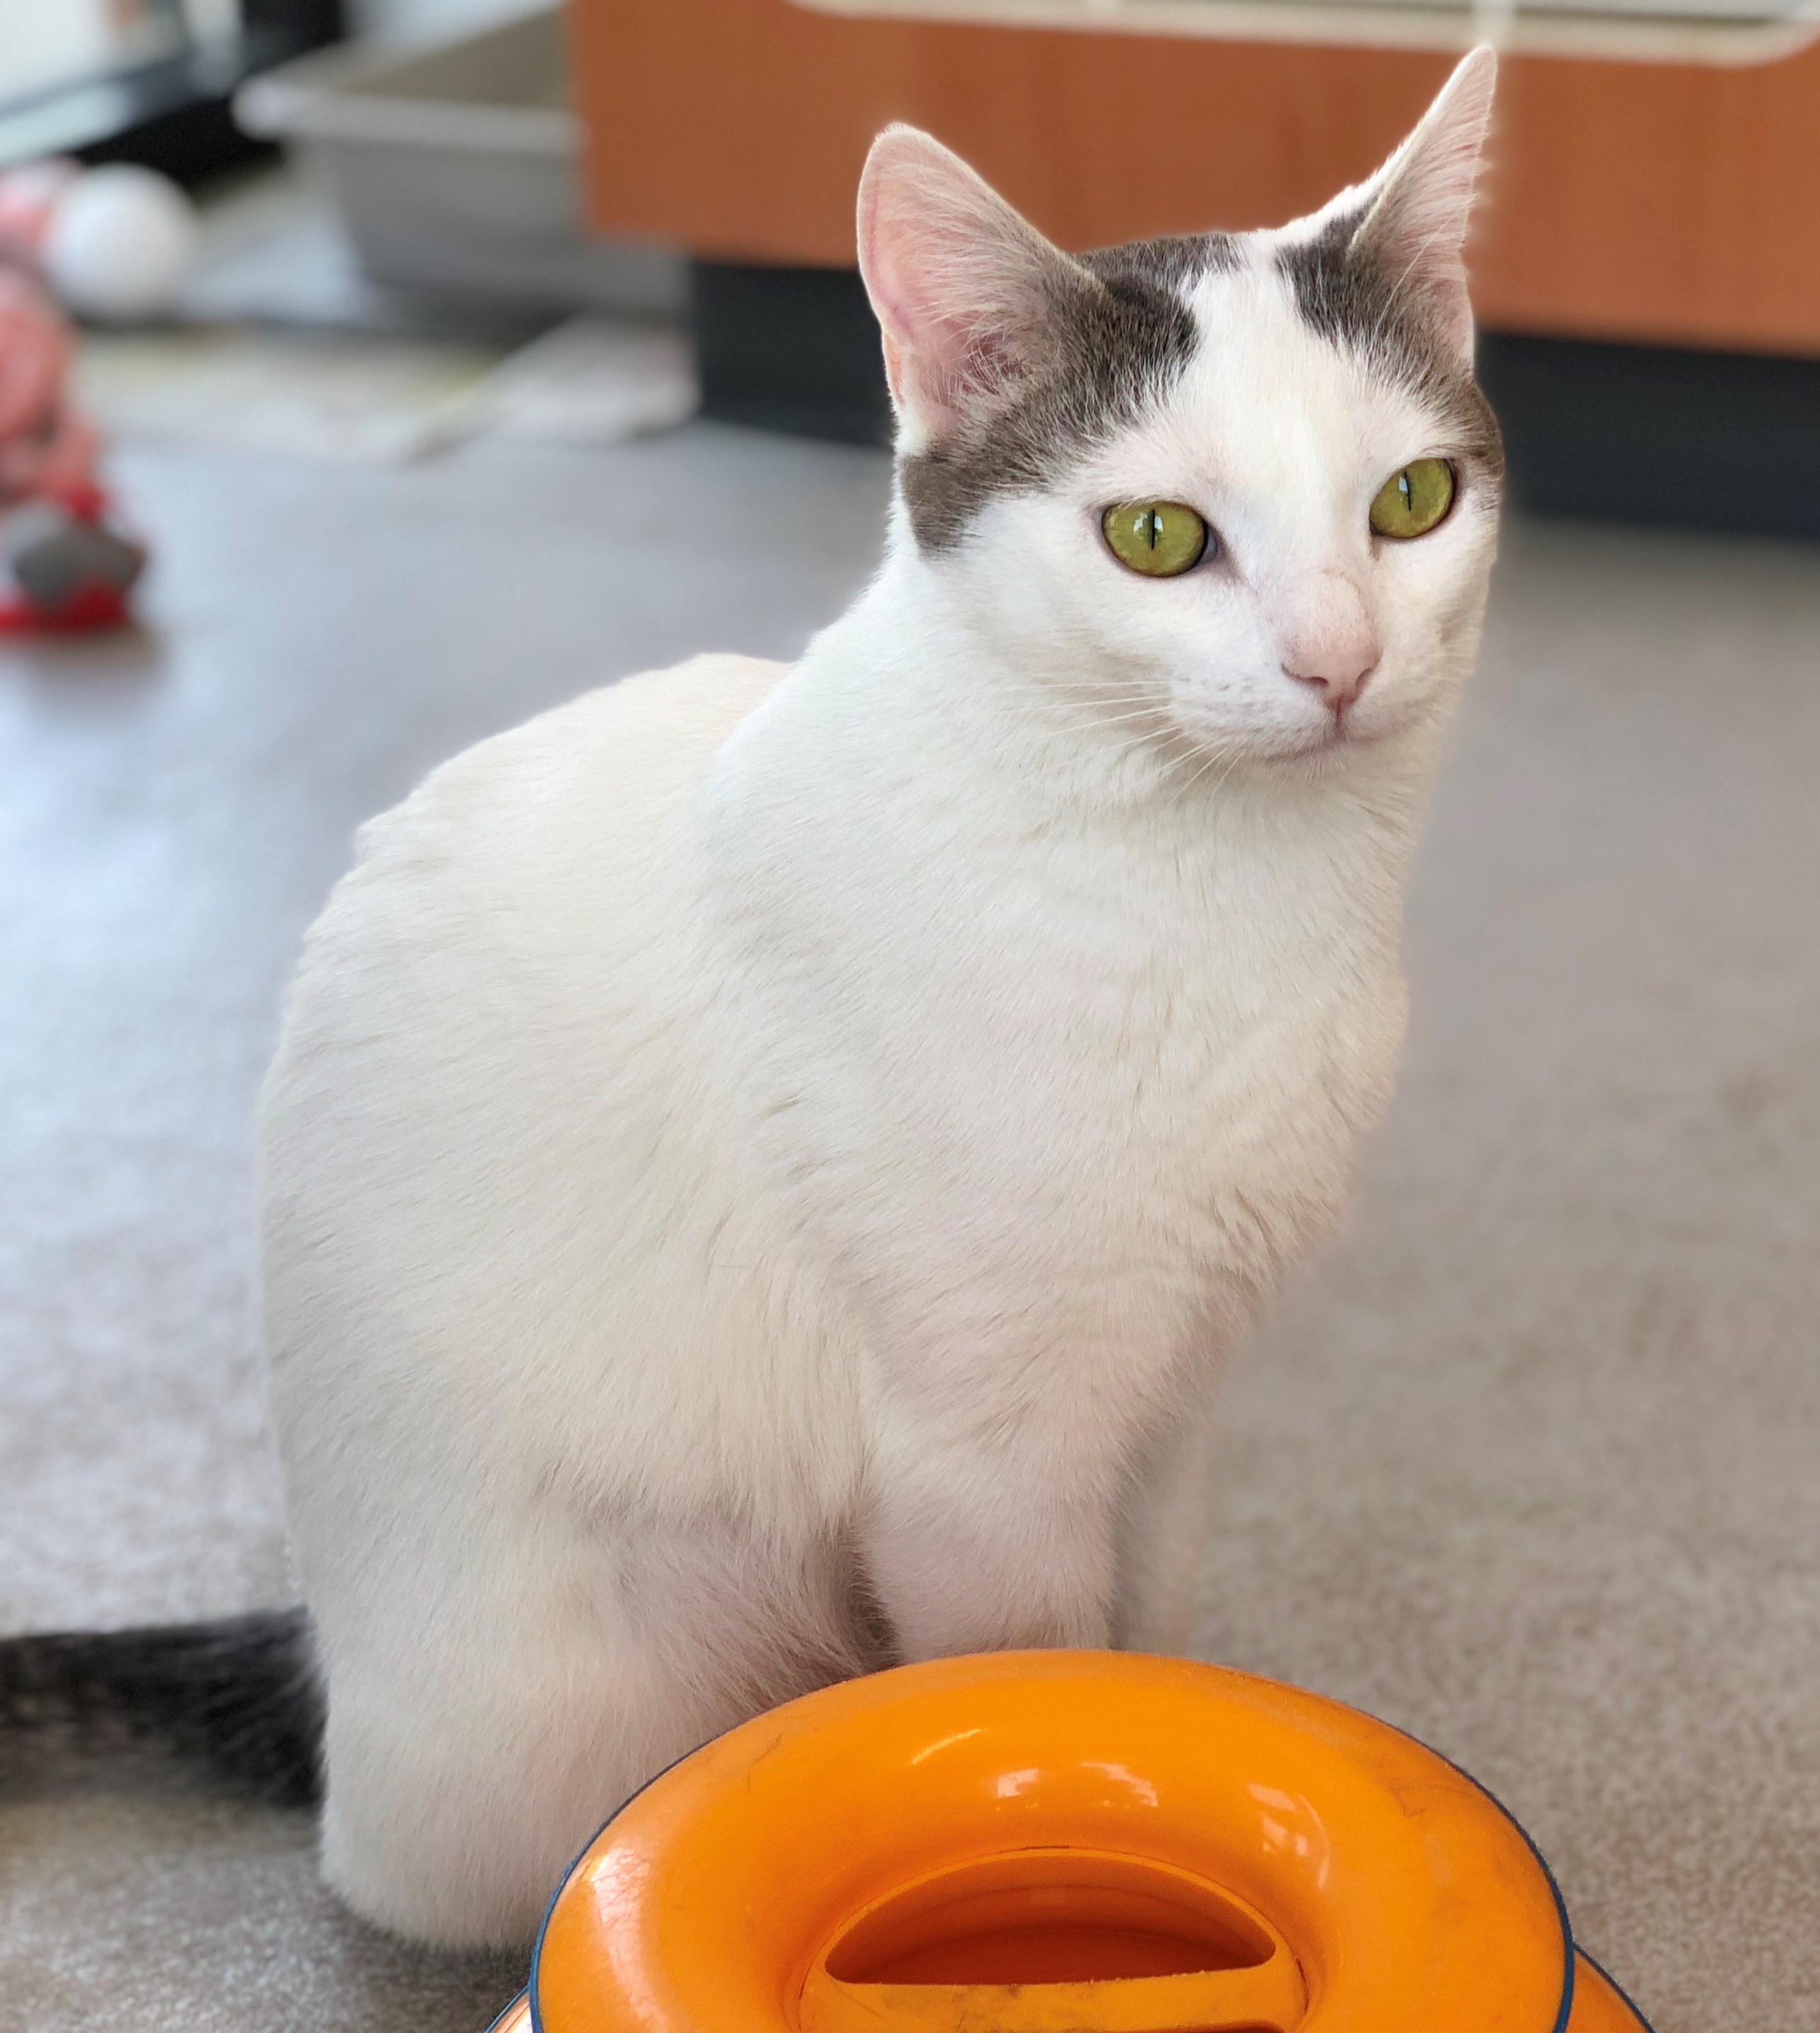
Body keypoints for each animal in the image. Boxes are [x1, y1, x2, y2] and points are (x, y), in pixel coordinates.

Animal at [1, 49, 1502, 1951]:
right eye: (1159, 538)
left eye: (1410, 505)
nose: (1337, 661)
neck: (1227, 902)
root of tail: (329, 1673)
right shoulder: (976, 1467)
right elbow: (1036, 1672)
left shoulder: (1172, 1404)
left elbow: (1146, 1640)